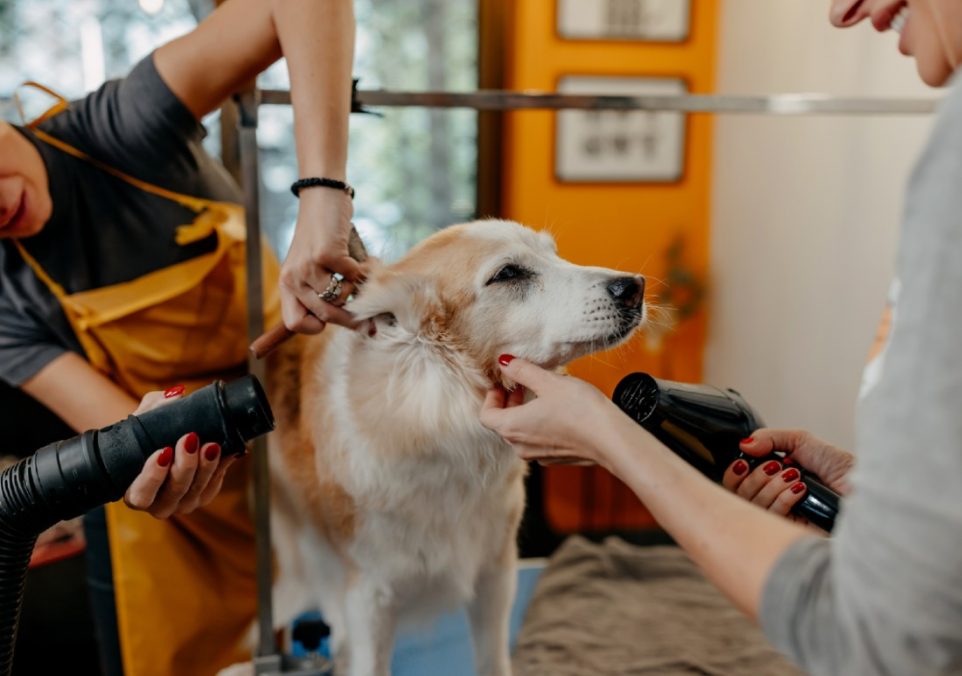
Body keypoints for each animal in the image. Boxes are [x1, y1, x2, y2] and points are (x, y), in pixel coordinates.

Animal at [248, 220, 640, 676]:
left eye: (555, 255)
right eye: (508, 274)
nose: (634, 287)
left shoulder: (494, 576)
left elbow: (493, 662)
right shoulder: (369, 600)